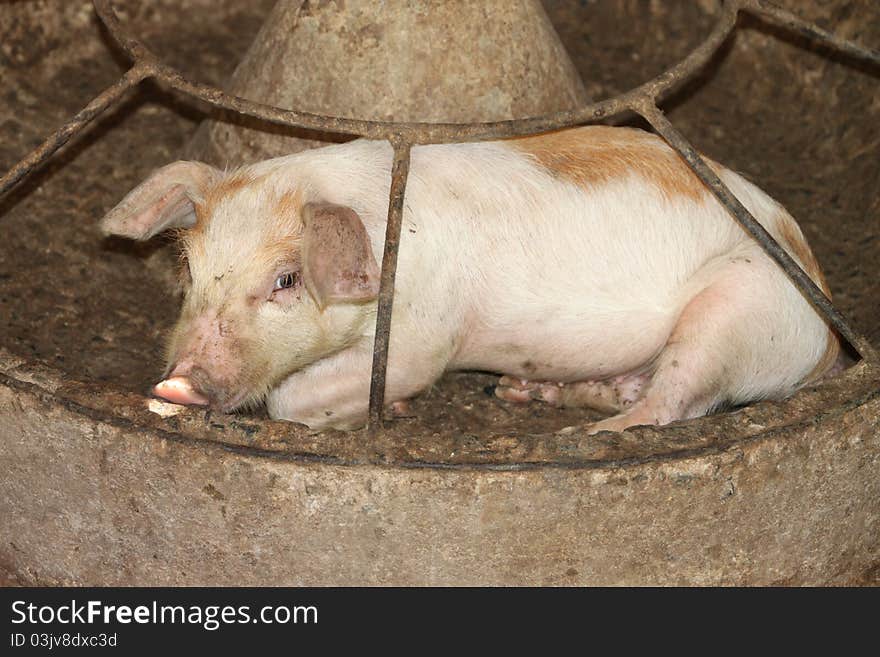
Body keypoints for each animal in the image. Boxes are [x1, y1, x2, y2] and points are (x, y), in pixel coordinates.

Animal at [101, 125, 840, 434]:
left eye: (285, 280)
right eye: (189, 267)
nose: (178, 380)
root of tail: (827, 331)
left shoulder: (423, 340)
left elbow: (290, 402)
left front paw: (390, 412)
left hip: (738, 307)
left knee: (676, 403)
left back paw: (581, 437)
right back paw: (528, 393)